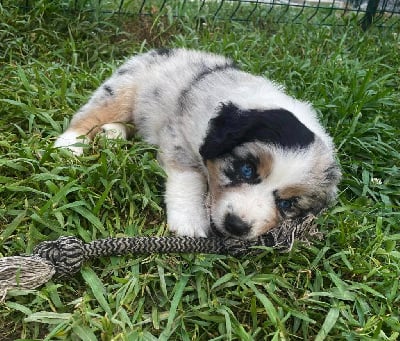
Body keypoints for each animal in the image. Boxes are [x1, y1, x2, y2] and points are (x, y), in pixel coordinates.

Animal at [54, 47, 340, 238]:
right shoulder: (179, 136)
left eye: (287, 205)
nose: (237, 226)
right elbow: (189, 178)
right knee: (92, 114)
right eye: (246, 169)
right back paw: (69, 145)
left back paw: (112, 134)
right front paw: (190, 221)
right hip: (124, 88)